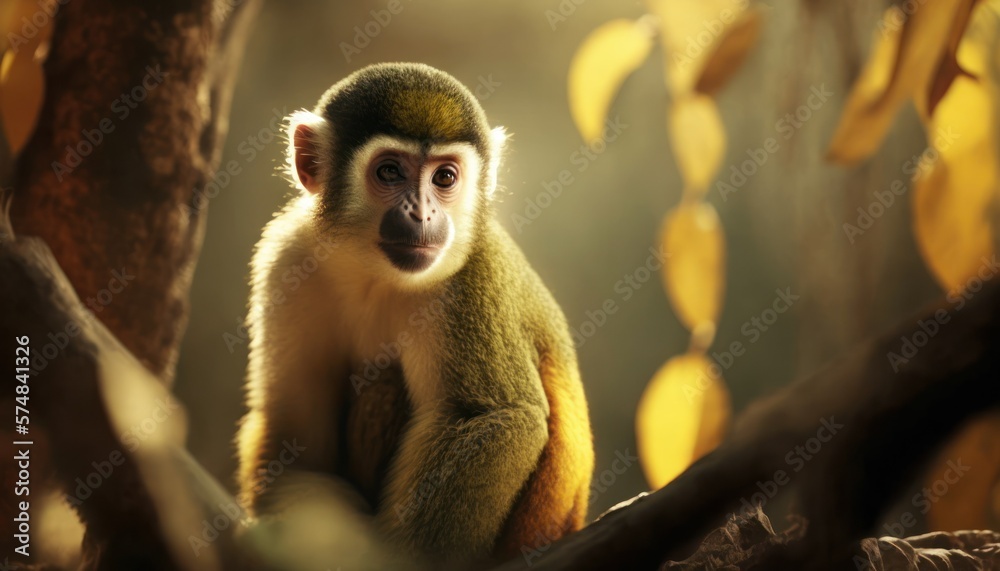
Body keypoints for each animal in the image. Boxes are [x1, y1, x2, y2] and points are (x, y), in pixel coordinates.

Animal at [236, 62, 594, 563]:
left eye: (444, 178)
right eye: (389, 171)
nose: (422, 214)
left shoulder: (471, 270)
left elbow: (499, 417)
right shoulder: (288, 254)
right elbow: (293, 436)